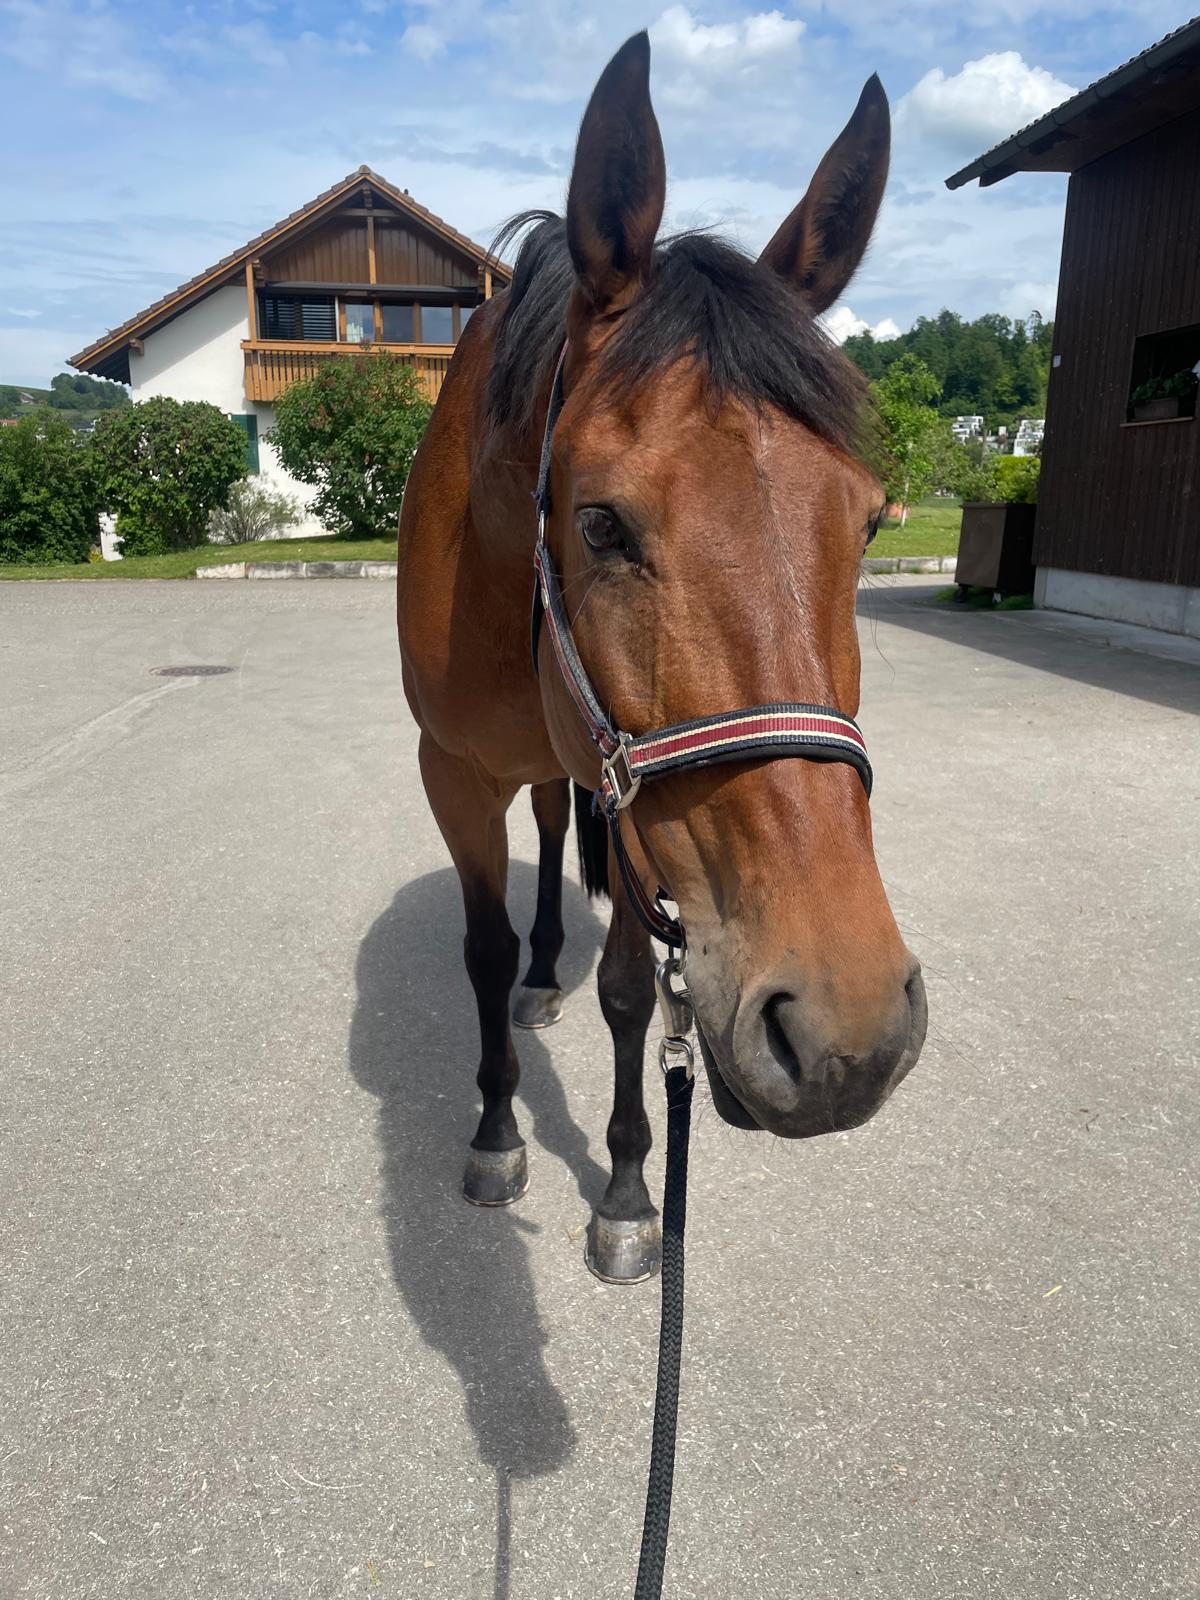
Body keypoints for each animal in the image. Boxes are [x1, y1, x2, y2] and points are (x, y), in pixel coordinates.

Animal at [396, 31, 928, 1284]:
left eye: (869, 522)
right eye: (600, 524)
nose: (848, 1030)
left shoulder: (626, 798)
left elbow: (636, 995)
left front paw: (632, 1188)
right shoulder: (452, 771)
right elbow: (482, 949)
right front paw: (496, 1132)